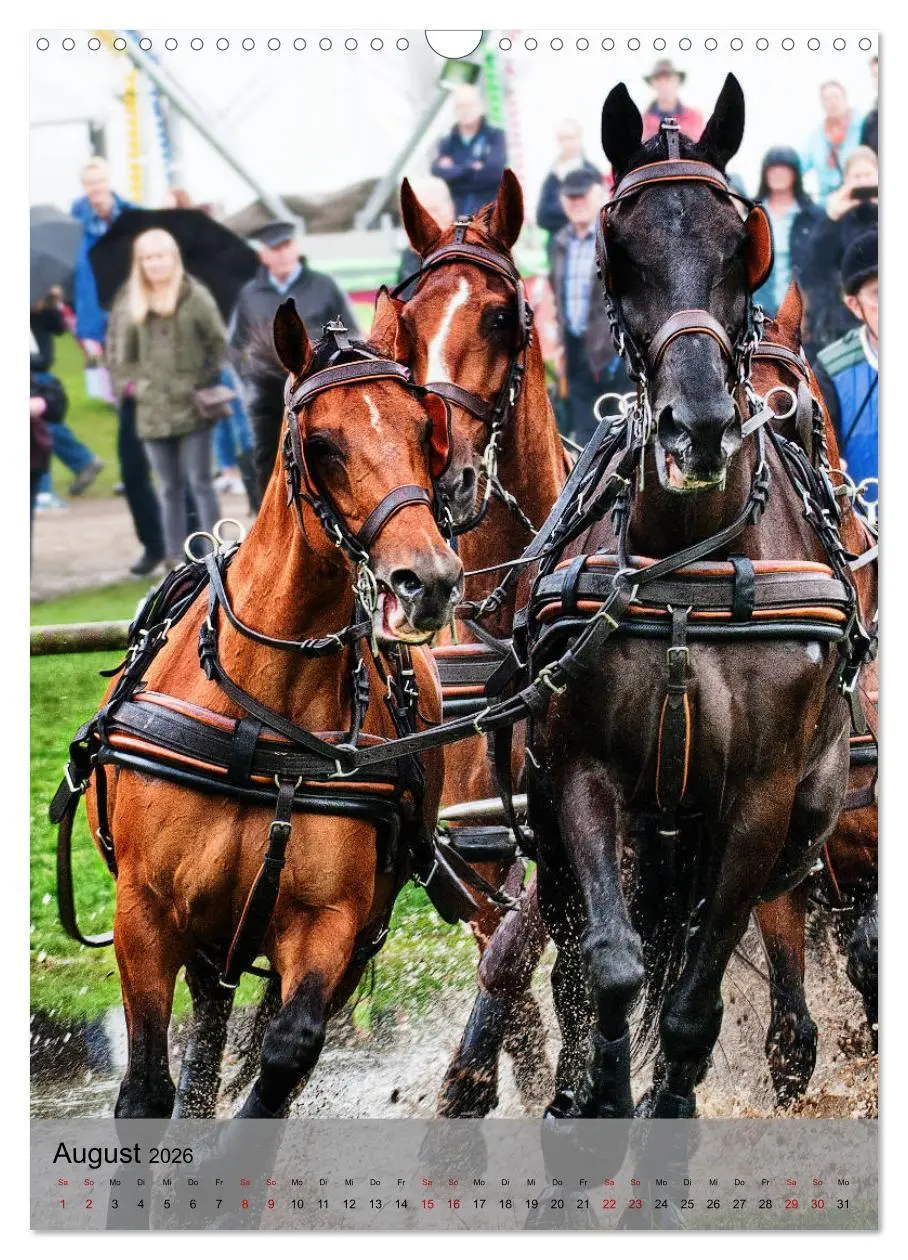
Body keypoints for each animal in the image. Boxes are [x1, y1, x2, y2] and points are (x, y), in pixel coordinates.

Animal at [69, 300, 463, 1119]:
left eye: (425, 432)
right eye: (322, 444)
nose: (429, 579)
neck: (259, 722)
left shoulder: (329, 922)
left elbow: (287, 1054)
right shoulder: (145, 913)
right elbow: (147, 1087)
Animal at [521, 74, 874, 1136]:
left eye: (739, 241)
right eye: (618, 246)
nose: (702, 427)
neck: (692, 564)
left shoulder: (756, 802)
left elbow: (692, 1000)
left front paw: (668, 1101)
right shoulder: (586, 774)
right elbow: (612, 966)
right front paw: (597, 1093)